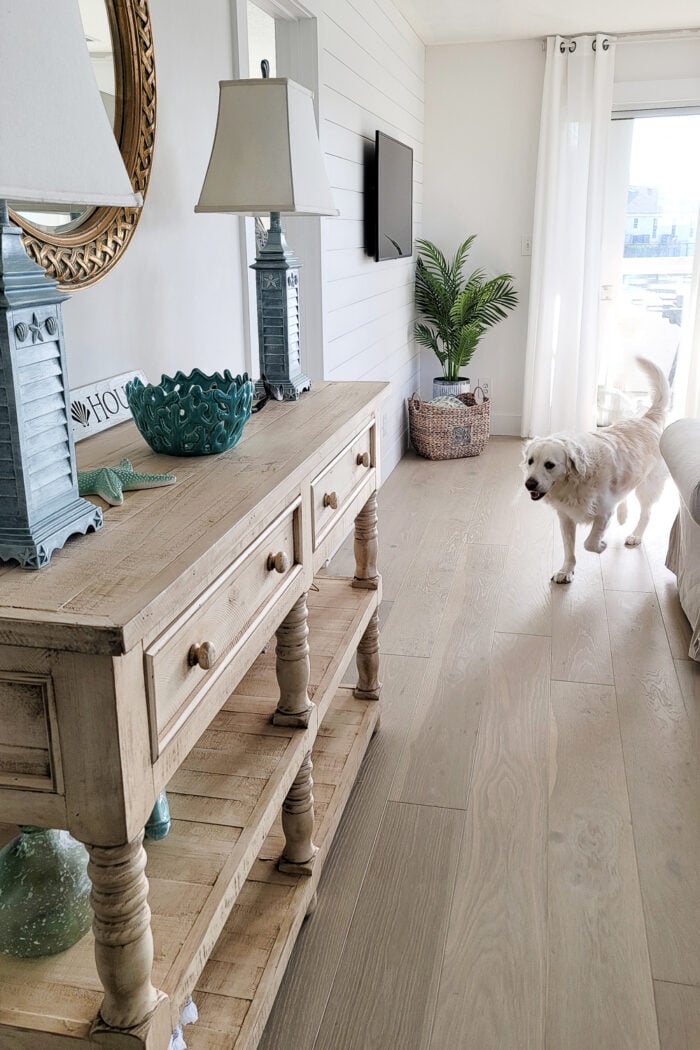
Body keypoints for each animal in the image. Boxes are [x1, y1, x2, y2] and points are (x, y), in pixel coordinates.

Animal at [522, 359, 671, 583]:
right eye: (531, 461)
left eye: (549, 465)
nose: (529, 484)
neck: (576, 481)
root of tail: (647, 419)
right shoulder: (566, 517)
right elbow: (569, 549)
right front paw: (566, 571)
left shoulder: (603, 512)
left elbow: (589, 543)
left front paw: (601, 545)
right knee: (625, 495)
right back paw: (623, 515)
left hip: (648, 486)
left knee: (646, 513)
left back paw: (636, 535)